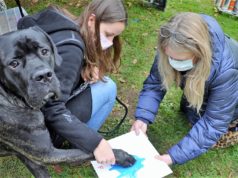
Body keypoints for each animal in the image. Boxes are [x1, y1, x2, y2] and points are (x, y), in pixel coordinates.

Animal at [0, 26, 135, 178]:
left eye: (44, 51)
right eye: (14, 64)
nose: (44, 75)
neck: (11, 97)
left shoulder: (31, 158)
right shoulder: (48, 153)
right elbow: (86, 152)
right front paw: (120, 155)